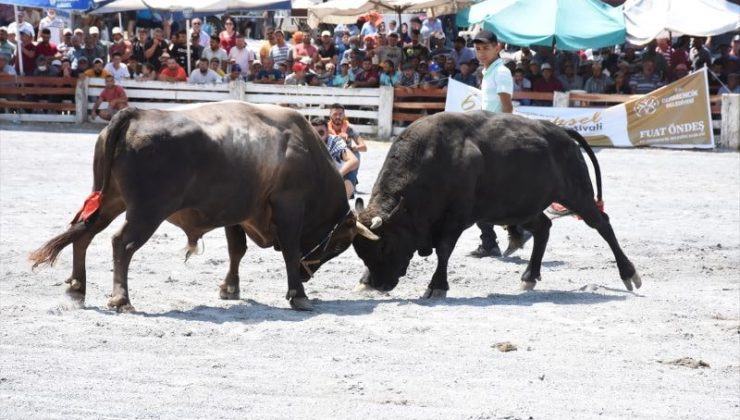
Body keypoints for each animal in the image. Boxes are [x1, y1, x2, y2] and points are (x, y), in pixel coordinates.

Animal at [30, 102, 376, 312]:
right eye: (340, 245)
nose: (307, 276)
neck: (307, 151)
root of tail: (137, 113)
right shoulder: (288, 205)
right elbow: (290, 251)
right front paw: (298, 295)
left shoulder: (239, 211)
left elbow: (237, 250)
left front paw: (230, 288)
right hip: (146, 211)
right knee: (122, 243)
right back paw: (121, 298)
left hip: (108, 199)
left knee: (83, 235)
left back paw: (77, 288)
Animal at [354, 111, 640, 296]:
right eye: (362, 252)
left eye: (386, 247)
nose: (379, 284)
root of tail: (561, 132)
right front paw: (364, 280)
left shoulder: (456, 219)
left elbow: (444, 250)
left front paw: (437, 286)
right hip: (524, 208)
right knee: (543, 228)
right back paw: (529, 277)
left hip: (577, 195)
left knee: (602, 224)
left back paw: (629, 274)